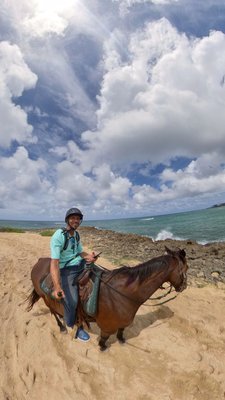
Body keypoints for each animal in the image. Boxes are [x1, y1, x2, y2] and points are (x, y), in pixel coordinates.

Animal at [25, 245, 188, 352]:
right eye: (186, 268)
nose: (184, 286)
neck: (123, 293)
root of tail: (39, 262)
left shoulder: (123, 321)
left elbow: (121, 331)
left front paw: (121, 340)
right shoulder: (107, 326)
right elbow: (104, 338)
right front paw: (102, 347)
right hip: (45, 298)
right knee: (53, 312)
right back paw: (62, 326)